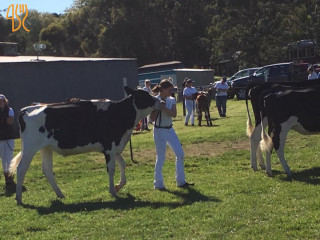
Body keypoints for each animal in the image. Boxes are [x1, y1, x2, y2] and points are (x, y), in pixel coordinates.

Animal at [9, 86, 161, 204]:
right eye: (145, 95)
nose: (160, 100)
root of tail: (26, 109)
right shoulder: (109, 146)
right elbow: (111, 169)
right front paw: (113, 191)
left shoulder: (115, 147)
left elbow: (122, 164)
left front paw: (119, 185)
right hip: (30, 147)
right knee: (21, 168)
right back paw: (19, 198)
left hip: (46, 148)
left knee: (46, 170)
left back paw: (60, 194)